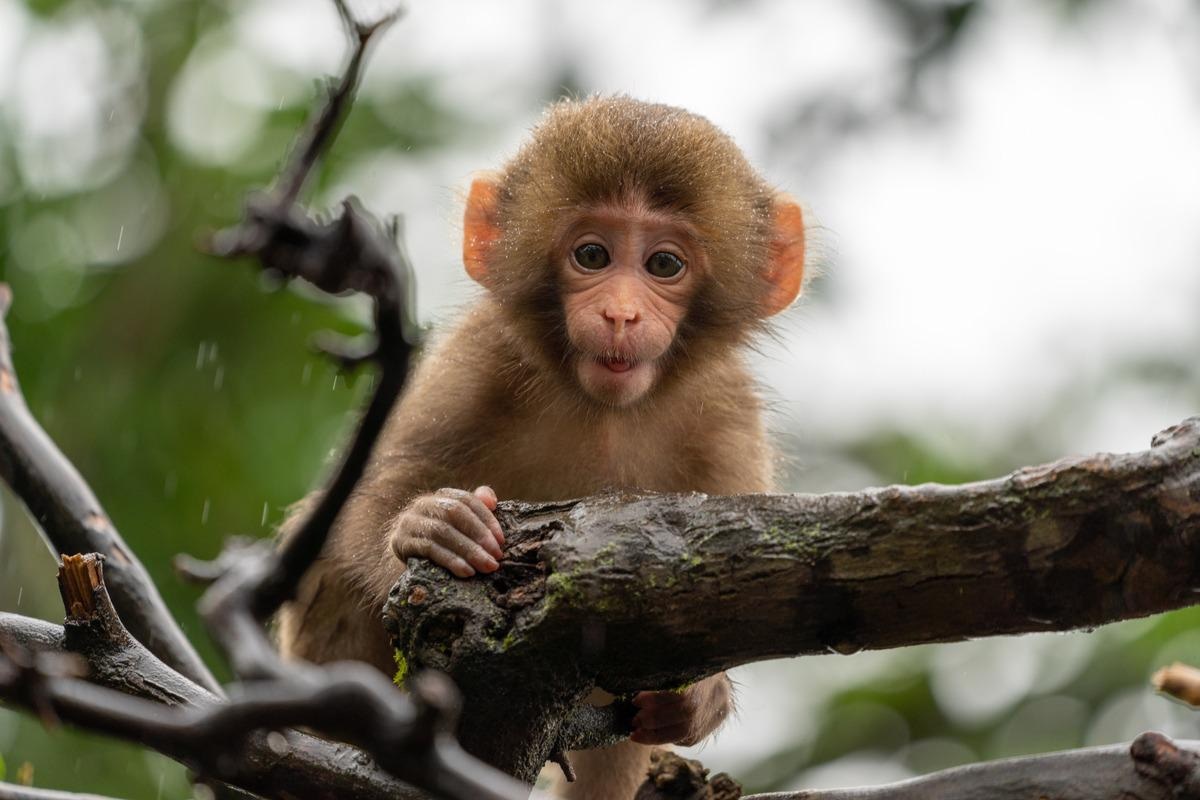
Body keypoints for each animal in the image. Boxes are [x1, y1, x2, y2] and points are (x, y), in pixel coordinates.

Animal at [277, 95, 806, 799]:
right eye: (592, 255)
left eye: (664, 265)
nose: (620, 315)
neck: (604, 413)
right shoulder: (478, 355)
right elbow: (365, 497)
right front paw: (431, 528)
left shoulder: (726, 417)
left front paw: (702, 698)